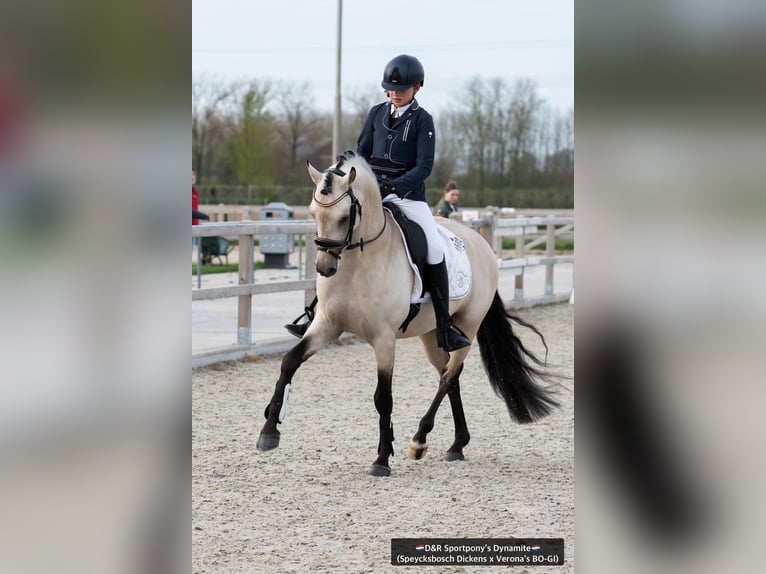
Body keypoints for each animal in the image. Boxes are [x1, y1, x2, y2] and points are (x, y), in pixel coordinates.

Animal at [258, 150, 560, 476]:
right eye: (314, 214)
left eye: (344, 217)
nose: (324, 268)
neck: (358, 264)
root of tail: (482, 244)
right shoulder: (327, 325)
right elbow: (289, 362)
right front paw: (269, 431)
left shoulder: (384, 339)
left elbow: (383, 397)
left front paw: (381, 459)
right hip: (431, 335)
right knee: (450, 375)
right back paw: (456, 444)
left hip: (468, 324)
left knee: (448, 376)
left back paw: (419, 440)